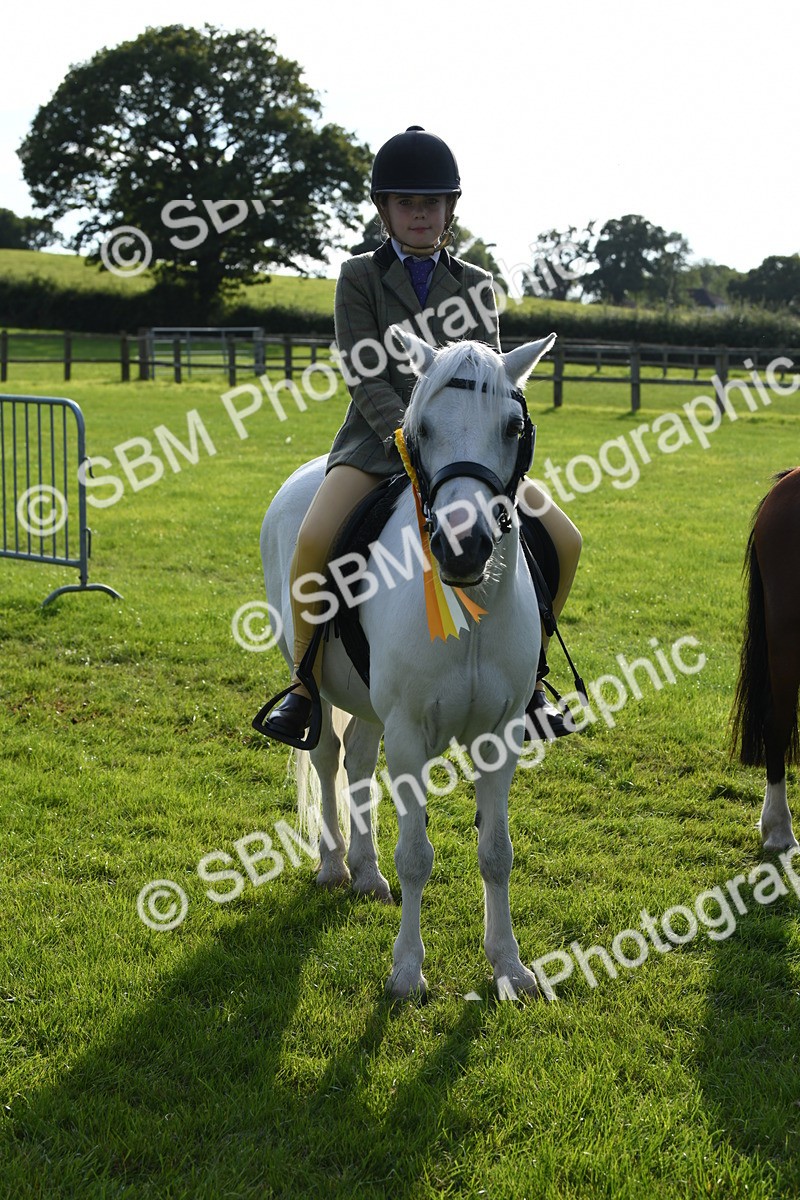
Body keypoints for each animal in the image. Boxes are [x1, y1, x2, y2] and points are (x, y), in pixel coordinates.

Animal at [257, 328, 556, 1000]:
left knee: (359, 760)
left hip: (372, 707)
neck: (470, 614)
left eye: (512, 427)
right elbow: (417, 856)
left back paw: (367, 874)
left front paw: (509, 967)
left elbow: (497, 853)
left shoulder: (500, 734)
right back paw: (336, 866)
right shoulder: (411, 733)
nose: (463, 547)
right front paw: (406, 974)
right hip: (320, 686)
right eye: (420, 430)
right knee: (328, 757)